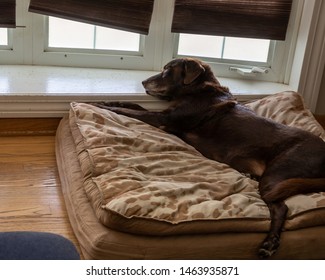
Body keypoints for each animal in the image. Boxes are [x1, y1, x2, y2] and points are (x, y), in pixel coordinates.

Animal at [92, 58, 324, 260]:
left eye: (167, 70)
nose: (143, 82)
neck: (197, 91)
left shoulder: (164, 119)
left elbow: (132, 111)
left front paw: (106, 107)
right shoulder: (165, 115)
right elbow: (135, 106)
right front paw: (110, 100)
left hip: (276, 175)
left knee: (281, 208)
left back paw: (270, 243)